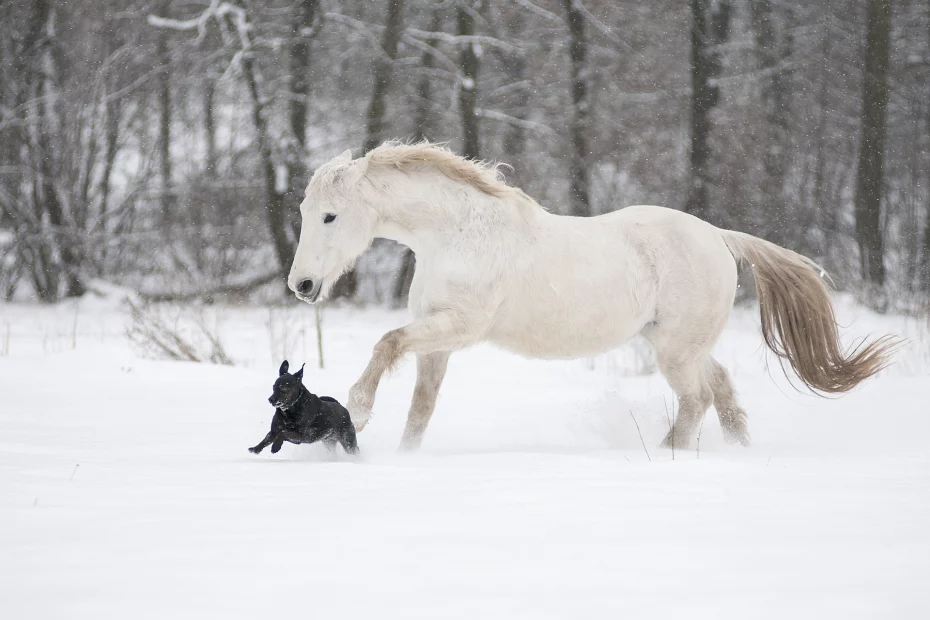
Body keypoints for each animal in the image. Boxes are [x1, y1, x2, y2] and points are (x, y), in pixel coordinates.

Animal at [288, 141, 892, 450]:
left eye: (330, 216)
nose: (302, 286)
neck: (457, 235)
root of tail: (720, 238)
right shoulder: (438, 343)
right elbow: (420, 410)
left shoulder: (461, 326)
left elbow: (386, 344)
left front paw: (357, 413)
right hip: (680, 344)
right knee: (720, 388)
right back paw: (737, 450)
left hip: (675, 351)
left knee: (697, 399)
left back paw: (667, 454)